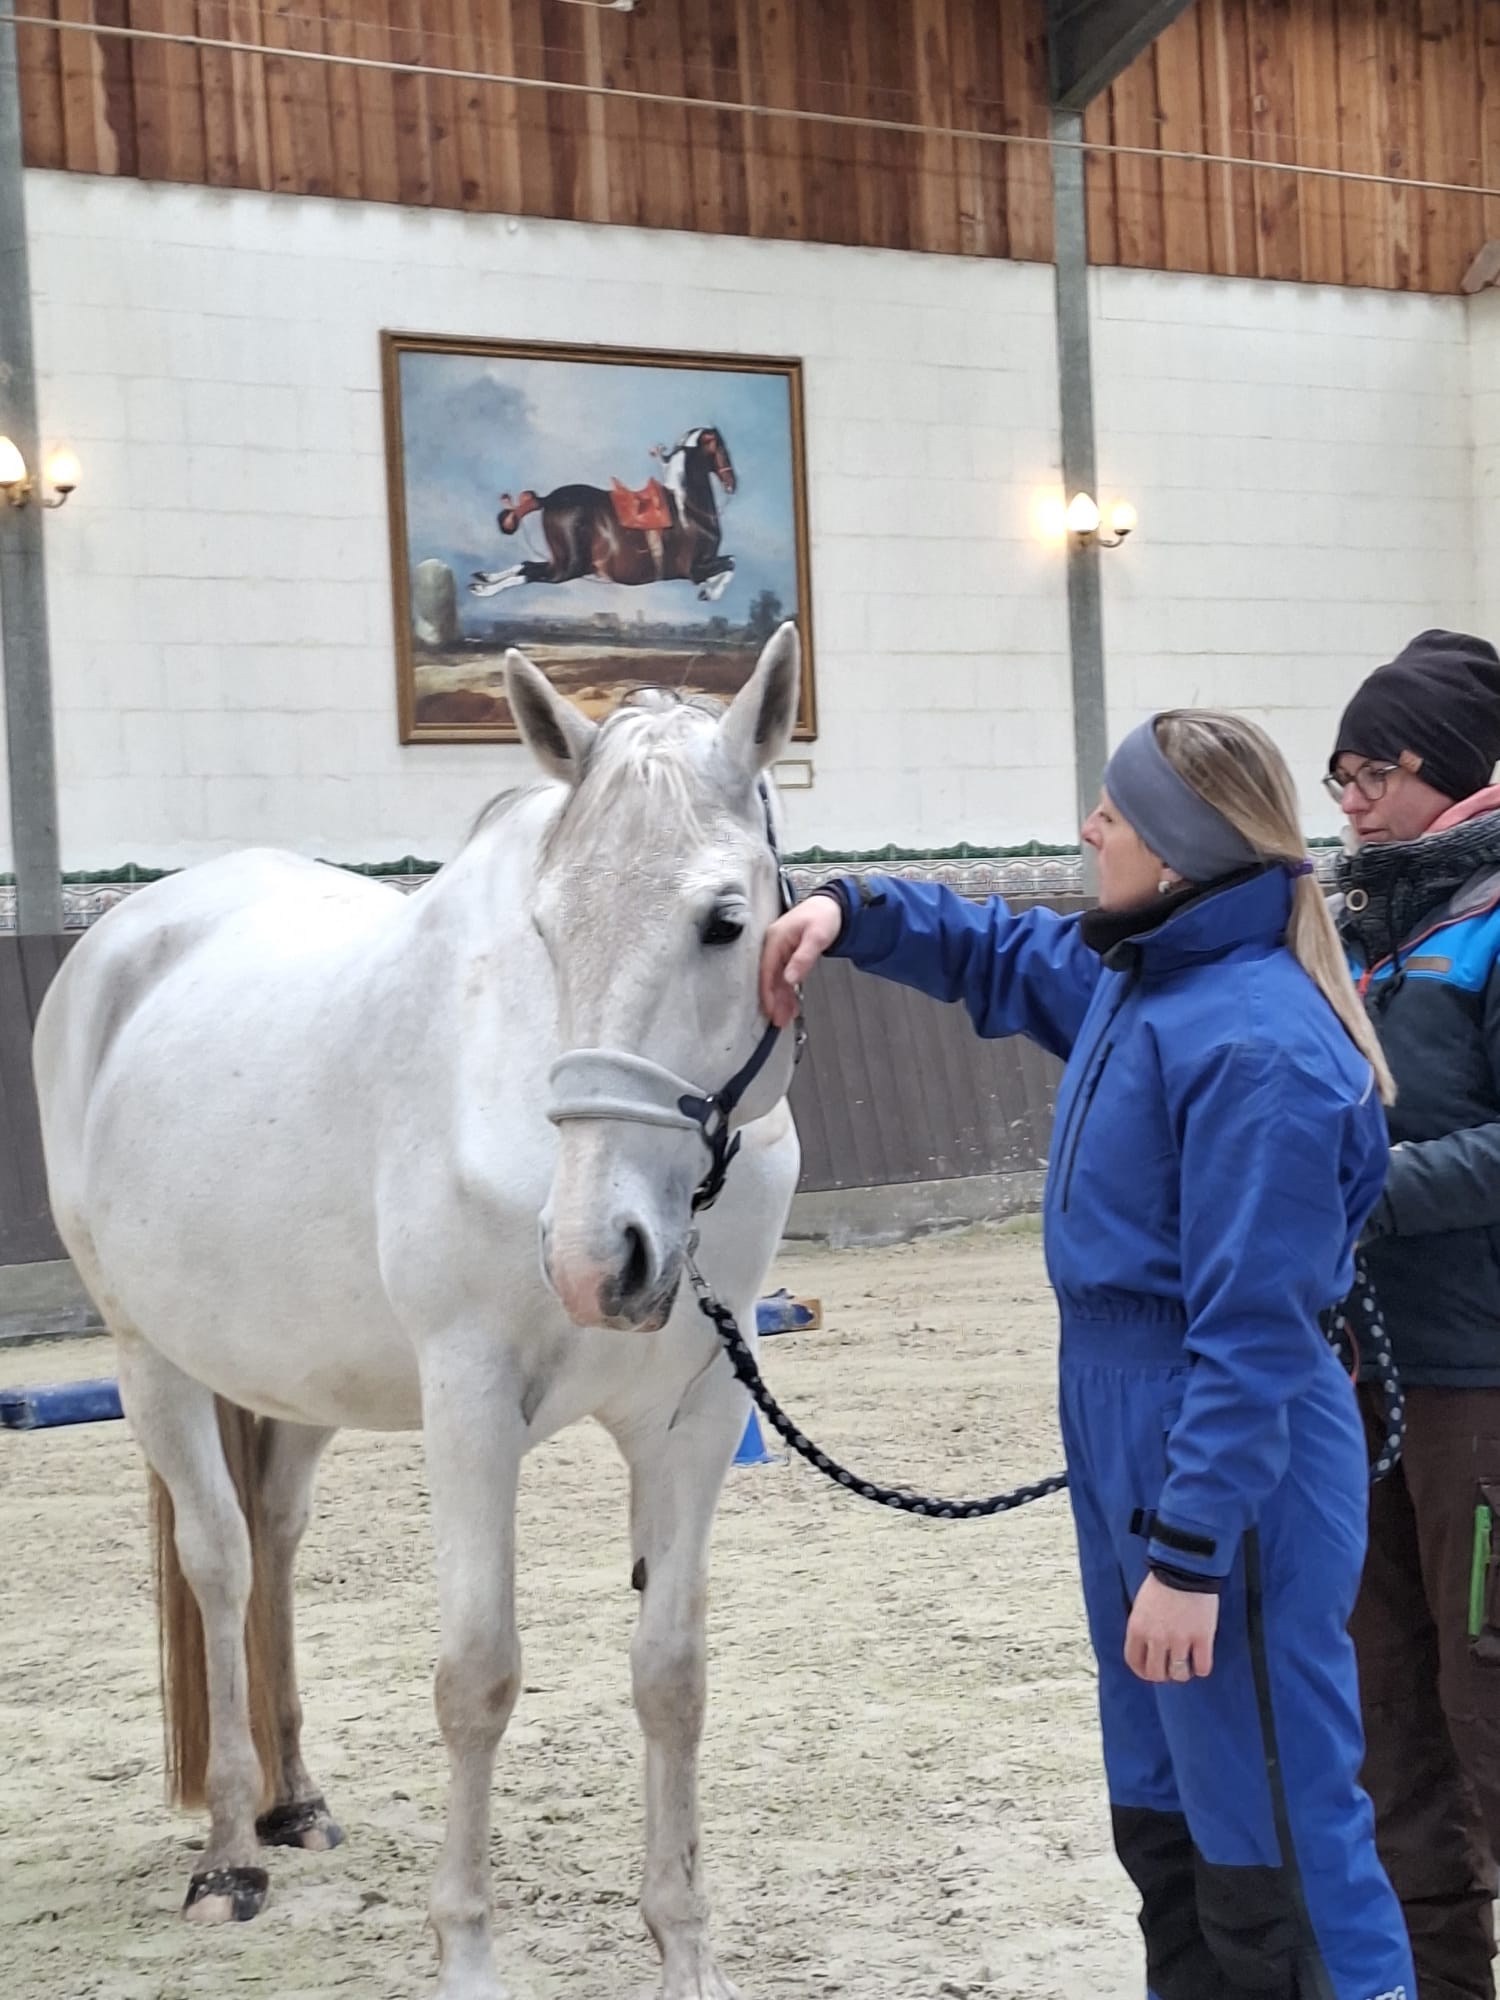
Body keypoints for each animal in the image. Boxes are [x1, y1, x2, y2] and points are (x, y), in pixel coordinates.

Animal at [32, 626, 804, 2000]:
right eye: (548, 925)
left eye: (727, 920)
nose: (597, 1259)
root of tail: (119, 941)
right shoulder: (471, 1401)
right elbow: (477, 1676)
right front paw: (469, 1954)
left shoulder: (701, 1413)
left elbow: (671, 1675)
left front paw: (684, 1951)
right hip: (151, 1362)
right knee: (223, 1561)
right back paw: (230, 1852)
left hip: (295, 1382)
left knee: (276, 1539)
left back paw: (293, 1798)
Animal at [470, 427, 737, 604]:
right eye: (722, 448)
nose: (732, 483)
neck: (688, 509)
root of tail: (549, 499)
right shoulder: (694, 569)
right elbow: (730, 564)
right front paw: (709, 592)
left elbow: (730, 561)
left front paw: (707, 591)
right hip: (568, 569)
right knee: (529, 574)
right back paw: (484, 589)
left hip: (562, 562)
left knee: (526, 566)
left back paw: (483, 579)